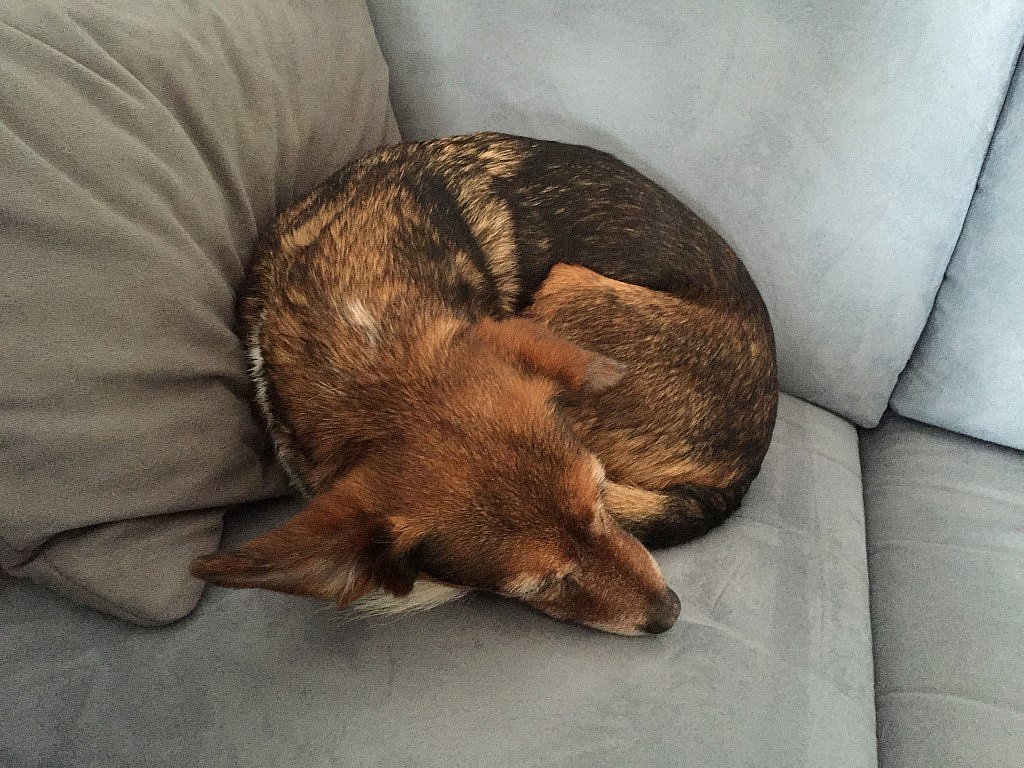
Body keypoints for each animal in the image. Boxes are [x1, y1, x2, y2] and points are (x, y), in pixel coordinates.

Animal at [191, 132, 778, 636]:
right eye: (539, 585)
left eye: (601, 498)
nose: (672, 613)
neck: (360, 334)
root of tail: (741, 476)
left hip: (568, 285)